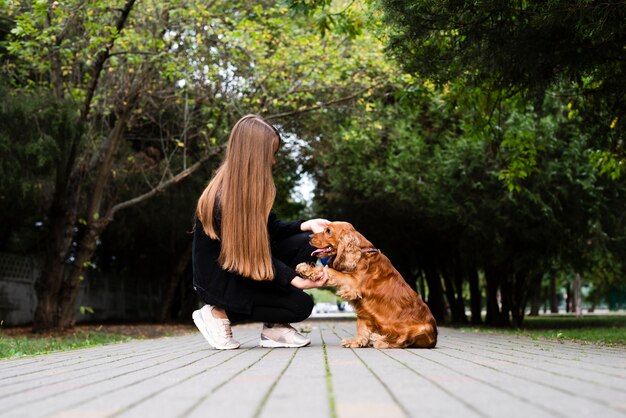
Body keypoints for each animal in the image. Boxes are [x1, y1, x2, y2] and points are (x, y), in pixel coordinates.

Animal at [296, 222, 434, 350]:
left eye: (328, 231)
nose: (309, 236)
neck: (361, 252)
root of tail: (434, 340)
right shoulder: (363, 306)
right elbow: (361, 325)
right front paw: (356, 342)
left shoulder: (353, 282)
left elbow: (331, 271)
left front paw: (306, 268)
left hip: (421, 329)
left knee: (403, 341)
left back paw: (381, 340)